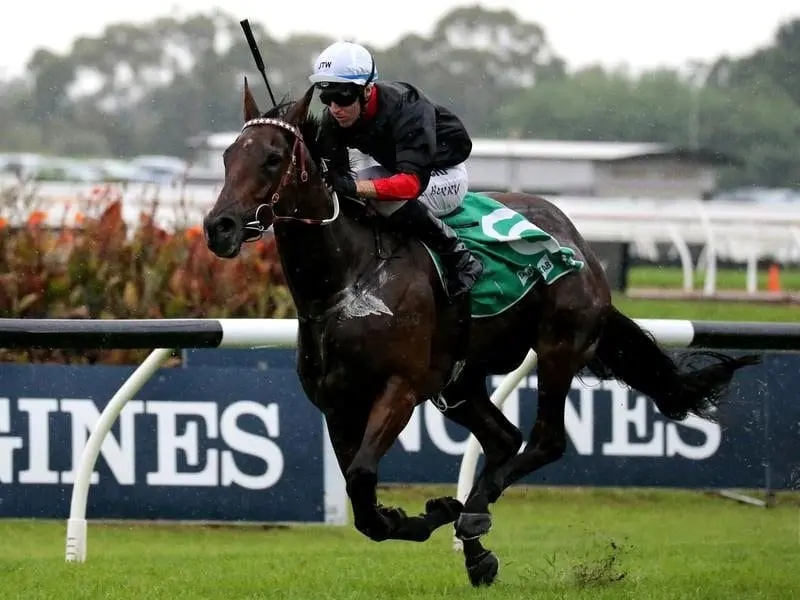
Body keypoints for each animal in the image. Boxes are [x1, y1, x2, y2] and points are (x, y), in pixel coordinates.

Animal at [202, 82, 764, 588]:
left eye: (273, 157)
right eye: (228, 156)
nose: (219, 227)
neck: (348, 279)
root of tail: (578, 240)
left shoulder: (399, 388)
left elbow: (362, 478)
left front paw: (431, 513)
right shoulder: (336, 403)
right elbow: (361, 500)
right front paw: (419, 516)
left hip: (559, 345)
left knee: (545, 440)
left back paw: (474, 515)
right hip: (460, 380)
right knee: (504, 438)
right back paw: (475, 541)